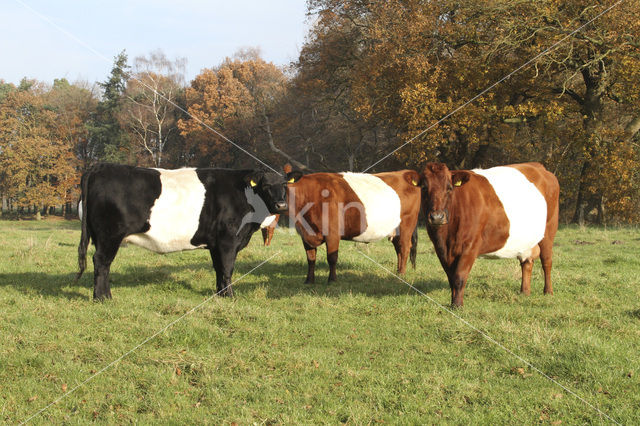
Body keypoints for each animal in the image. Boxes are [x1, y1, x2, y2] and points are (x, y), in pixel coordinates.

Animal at [76, 163, 286, 300]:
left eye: (284, 186)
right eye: (266, 186)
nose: (281, 205)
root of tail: (100, 167)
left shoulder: (215, 243)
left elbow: (219, 268)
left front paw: (220, 294)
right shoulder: (228, 240)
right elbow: (227, 268)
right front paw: (231, 296)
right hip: (109, 235)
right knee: (102, 262)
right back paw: (103, 297)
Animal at [288, 169, 422, 282]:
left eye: (284, 185)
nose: (282, 204)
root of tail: (405, 173)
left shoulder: (333, 234)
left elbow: (332, 258)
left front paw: (332, 280)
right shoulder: (305, 235)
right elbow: (311, 259)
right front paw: (309, 281)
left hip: (406, 225)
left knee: (404, 248)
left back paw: (402, 274)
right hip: (395, 230)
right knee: (398, 248)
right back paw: (398, 272)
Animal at [418, 162, 556, 306]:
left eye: (449, 188)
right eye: (424, 187)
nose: (437, 217)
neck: (447, 237)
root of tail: (538, 166)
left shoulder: (470, 246)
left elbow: (459, 276)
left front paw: (457, 305)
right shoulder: (441, 249)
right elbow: (451, 277)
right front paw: (453, 302)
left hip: (549, 228)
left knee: (546, 261)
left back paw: (548, 291)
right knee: (527, 262)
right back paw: (524, 292)